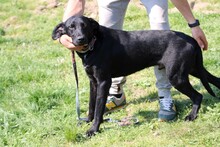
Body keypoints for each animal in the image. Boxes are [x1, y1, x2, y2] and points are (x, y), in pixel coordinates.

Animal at [52, 15, 220, 136]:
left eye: (85, 26)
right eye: (71, 27)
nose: (80, 39)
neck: (94, 45)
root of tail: (191, 39)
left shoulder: (104, 82)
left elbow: (99, 109)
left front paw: (93, 130)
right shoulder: (93, 82)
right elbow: (92, 106)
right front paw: (88, 120)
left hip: (177, 76)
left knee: (198, 95)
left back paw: (191, 116)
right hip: (193, 69)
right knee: (215, 80)